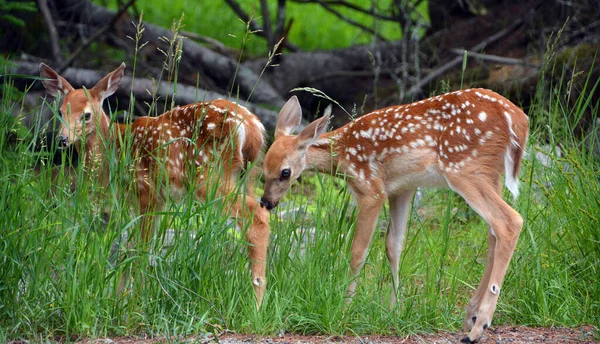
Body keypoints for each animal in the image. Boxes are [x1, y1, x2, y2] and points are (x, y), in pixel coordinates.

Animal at [39, 62, 270, 310]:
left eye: (86, 115)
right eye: (60, 111)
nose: (62, 139)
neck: (115, 149)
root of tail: (253, 127)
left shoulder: (145, 191)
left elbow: (140, 249)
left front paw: (135, 303)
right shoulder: (156, 201)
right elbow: (130, 249)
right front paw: (120, 298)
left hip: (208, 176)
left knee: (257, 215)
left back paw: (256, 304)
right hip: (245, 177)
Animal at [260, 90, 528, 342]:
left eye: (285, 172)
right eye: (263, 168)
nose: (266, 202)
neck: (343, 154)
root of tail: (517, 119)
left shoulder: (371, 189)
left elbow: (359, 251)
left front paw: (345, 308)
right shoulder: (402, 189)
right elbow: (394, 245)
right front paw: (393, 310)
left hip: (464, 168)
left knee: (509, 221)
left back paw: (478, 327)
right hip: (489, 174)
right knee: (493, 232)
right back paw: (470, 316)